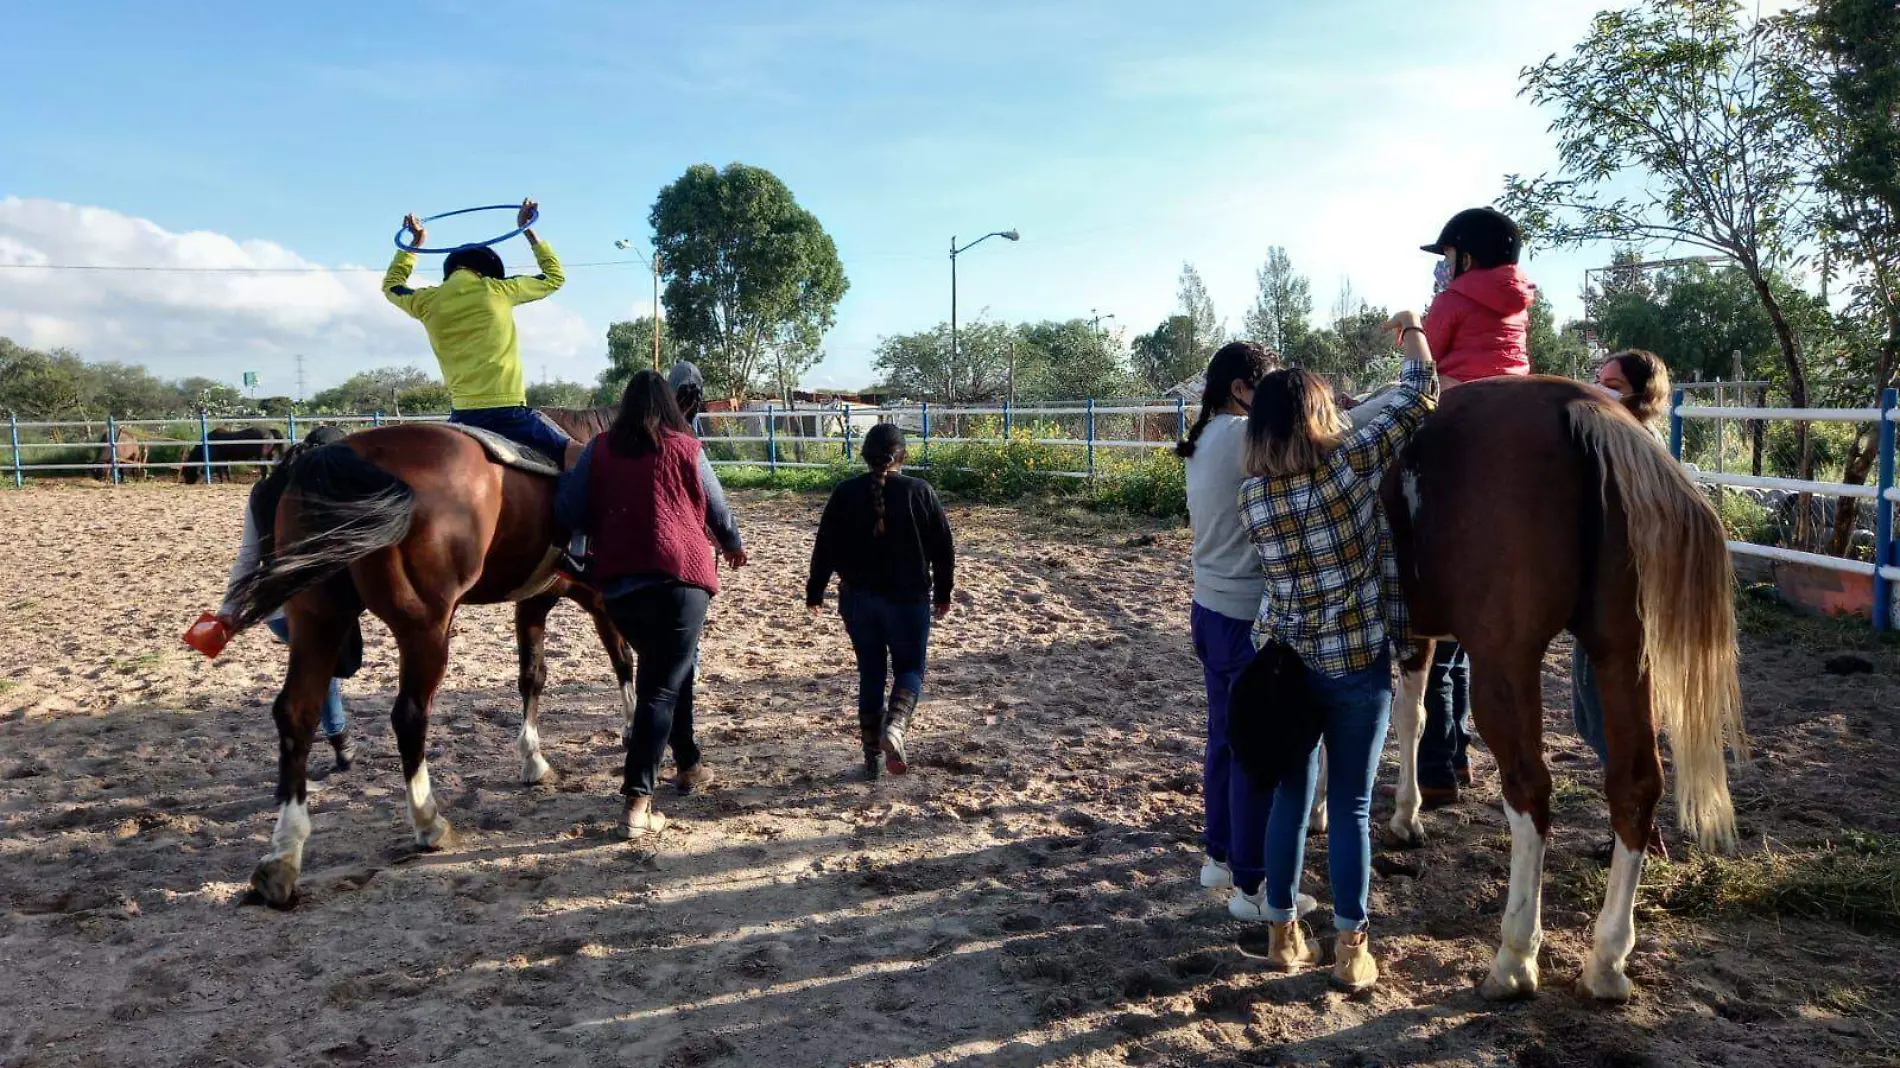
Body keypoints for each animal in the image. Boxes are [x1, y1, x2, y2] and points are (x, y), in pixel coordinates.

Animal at [215, 402, 630, 900]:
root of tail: (338, 453)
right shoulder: (599, 597)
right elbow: (622, 659)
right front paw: (630, 728)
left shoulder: (533, 601)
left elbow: (532, 676)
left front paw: (533, 759)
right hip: (425, 628)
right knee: (409, 715)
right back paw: (428, 822)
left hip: (318, 618)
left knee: (298, 713)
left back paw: (282, 858)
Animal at [1375, 378, 1740, 1003]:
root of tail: (1580, 408)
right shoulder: (1410, 635)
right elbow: (1407, 719)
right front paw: (1405, 816)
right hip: (1622, 655)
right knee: (1635, 784)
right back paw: (1607, 961)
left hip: (1506, 664)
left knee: (1529, 786)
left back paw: (1515, 958)